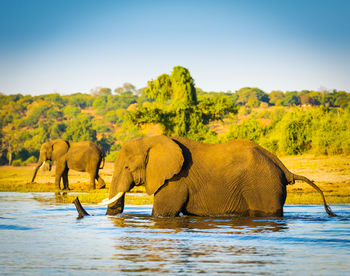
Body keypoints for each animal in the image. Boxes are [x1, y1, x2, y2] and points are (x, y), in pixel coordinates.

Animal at [98, 135, 336, 217]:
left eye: (126, 168)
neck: (151, 140)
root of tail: (284, 167)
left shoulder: (175, 181)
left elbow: (162, 213)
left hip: (265, 186)